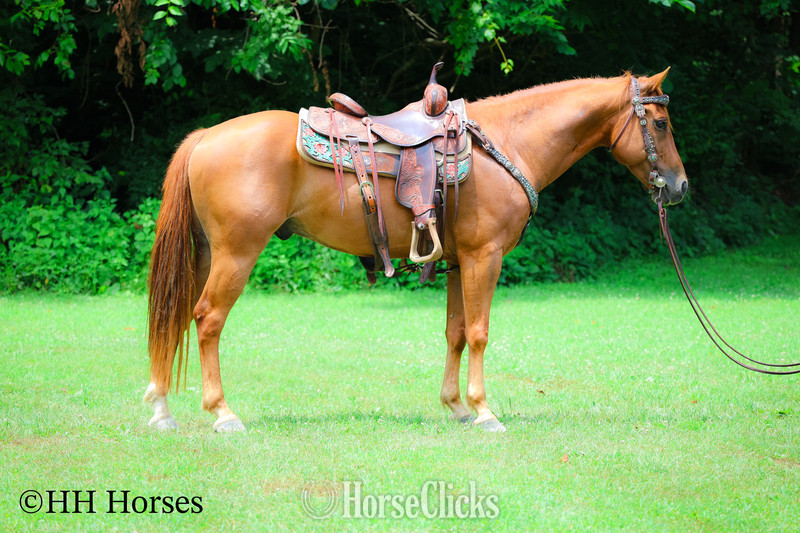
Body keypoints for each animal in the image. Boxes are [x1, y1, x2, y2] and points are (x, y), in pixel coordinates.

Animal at [144, 69, 688, 433]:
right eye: (660, 123)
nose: (680, 187)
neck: (508, 142)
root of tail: (205, 137)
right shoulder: (485, 257)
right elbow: (480, 333)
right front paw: (485, 411)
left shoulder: (459, 262)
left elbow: (456, 333)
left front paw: (457, 406)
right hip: (236, 254)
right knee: (208, 319)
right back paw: (222, 414)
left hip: (205, 254)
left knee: (174, 316)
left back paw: (162, 408)